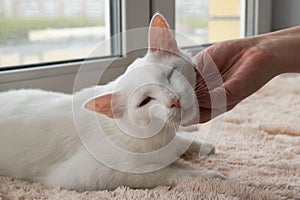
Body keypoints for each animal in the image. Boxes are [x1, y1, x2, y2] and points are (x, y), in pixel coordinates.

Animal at [0, 13, 225, 191]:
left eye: (169, 75)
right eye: (145, 101)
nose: (174, 101)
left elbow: (180, 143)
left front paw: (200, 146)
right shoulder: (87, 175)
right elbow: (168, 173)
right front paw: (208, 175)